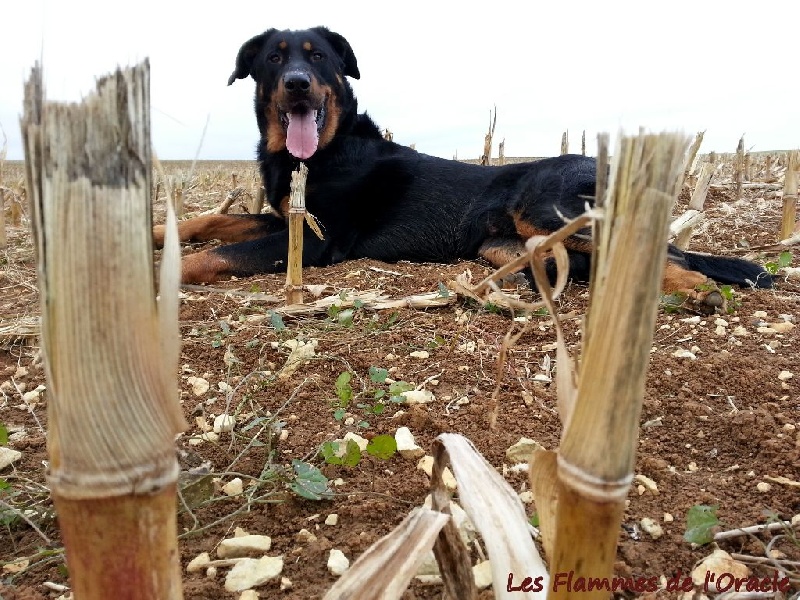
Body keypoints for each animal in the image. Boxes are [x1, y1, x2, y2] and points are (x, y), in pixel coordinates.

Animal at [153, 27, 772, 304]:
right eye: (273, 60)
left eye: (319, 57)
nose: (298, 84)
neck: (326, 150)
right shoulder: (287, 219)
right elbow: (210, 223)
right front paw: (159, 232)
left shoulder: (317, 241)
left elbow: (211, 256)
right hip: (503, 239)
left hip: (544, 203)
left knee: (660, 249)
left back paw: (694, 285)